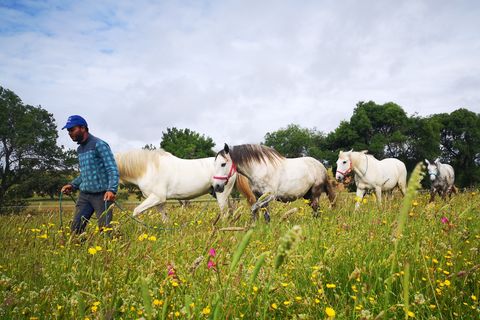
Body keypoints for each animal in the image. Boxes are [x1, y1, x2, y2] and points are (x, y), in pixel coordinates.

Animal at [115, 149, 255, 219]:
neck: (149, 167)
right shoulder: (160, 202)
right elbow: (165, 219)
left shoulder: (157, 197)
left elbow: (136, 211)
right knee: (231, 211)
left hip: (222, 193)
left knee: (225, 213)